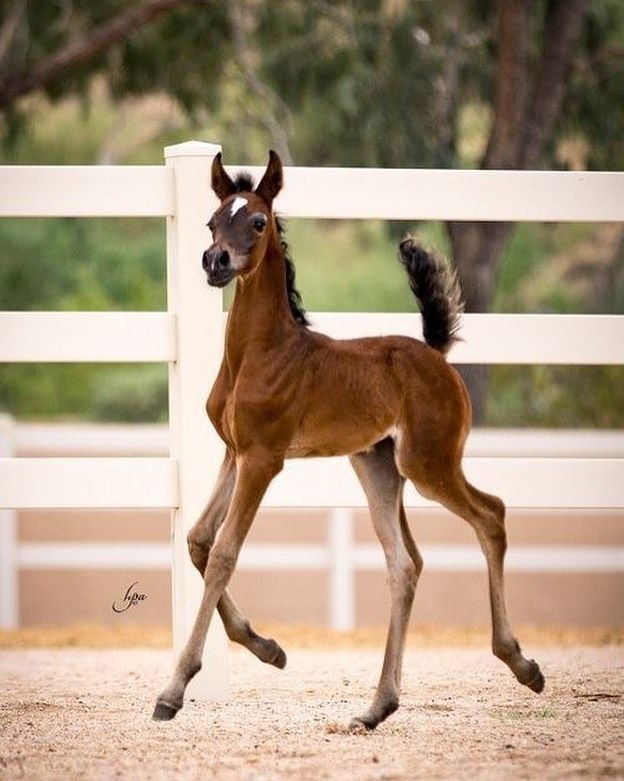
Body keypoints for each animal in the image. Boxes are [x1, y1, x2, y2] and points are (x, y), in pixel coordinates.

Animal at [154, 154, 544, 732]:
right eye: (211, 221)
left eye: (258, 222)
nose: (214, 261)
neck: (261, 352)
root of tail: (437, 354)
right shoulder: (233, 453)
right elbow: (199, 540)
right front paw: (268, 648)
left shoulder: (263, 459)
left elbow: (225, 551)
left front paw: (175, 688)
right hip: (376, 466)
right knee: (405, 564)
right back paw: (378, 706)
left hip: (429, 463)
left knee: (490, 514)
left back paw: (521, 663)